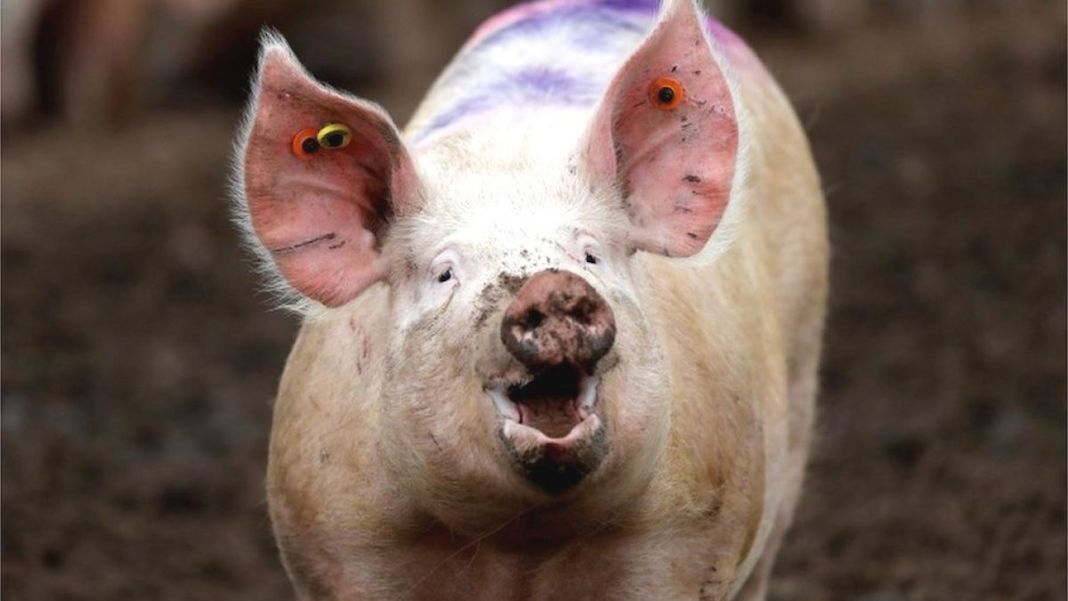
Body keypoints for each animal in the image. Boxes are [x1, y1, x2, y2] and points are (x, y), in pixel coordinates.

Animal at [231, 0, 827, 599]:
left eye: (591, 255)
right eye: (444, 273)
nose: (551, 285)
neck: (522, 542)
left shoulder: (688, 533)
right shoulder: (340, 540)